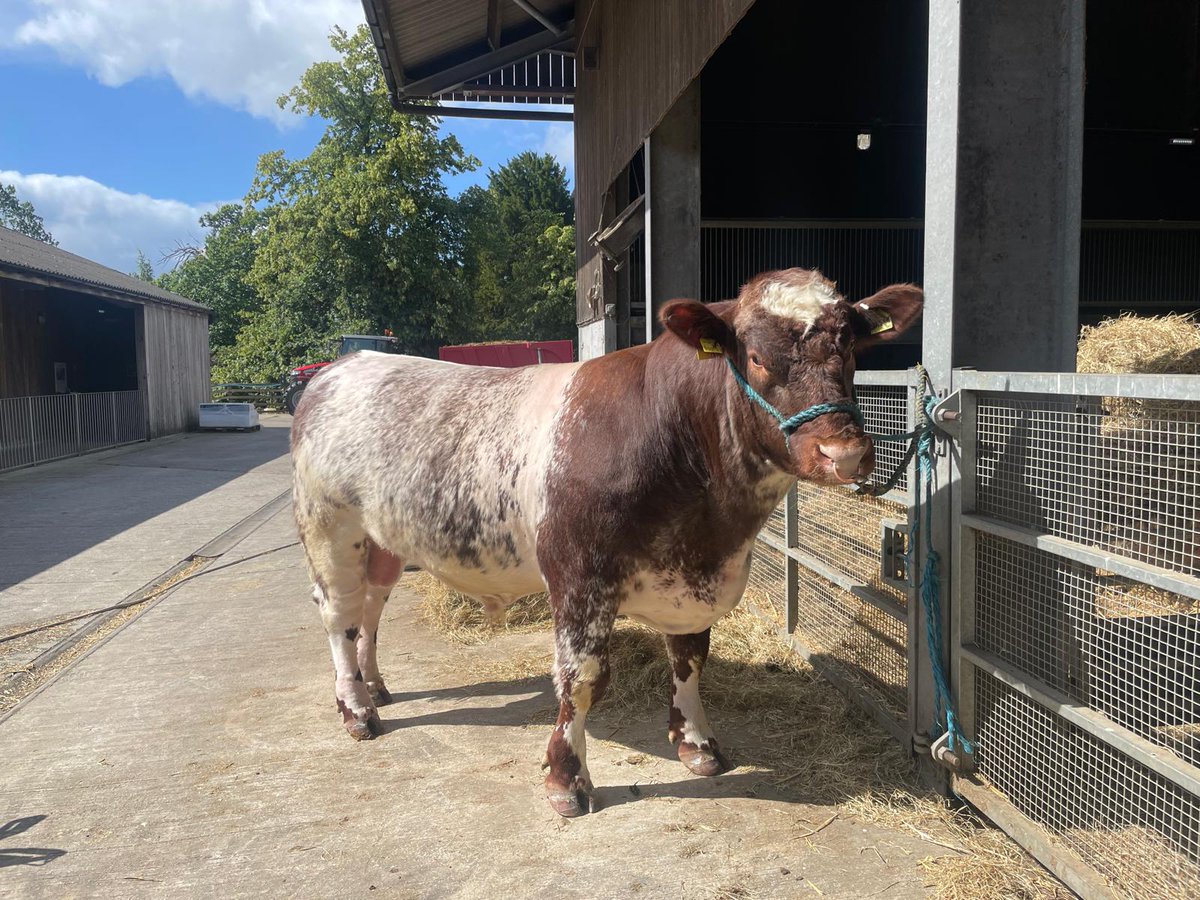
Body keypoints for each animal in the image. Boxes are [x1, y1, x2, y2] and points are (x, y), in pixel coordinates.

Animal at [290, 268, 923, 817]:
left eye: (853, 353)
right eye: (760, 358)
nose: (843, 454)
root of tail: (341, 366)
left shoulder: (689, 581)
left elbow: (690, 658)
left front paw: (697, 744)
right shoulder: (578, 576)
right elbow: (582, 677)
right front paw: (567, 778)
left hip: (383, 541)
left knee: (370, 607)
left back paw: (375, 687)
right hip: (329, 528)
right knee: (339, 613)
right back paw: (356, 709)